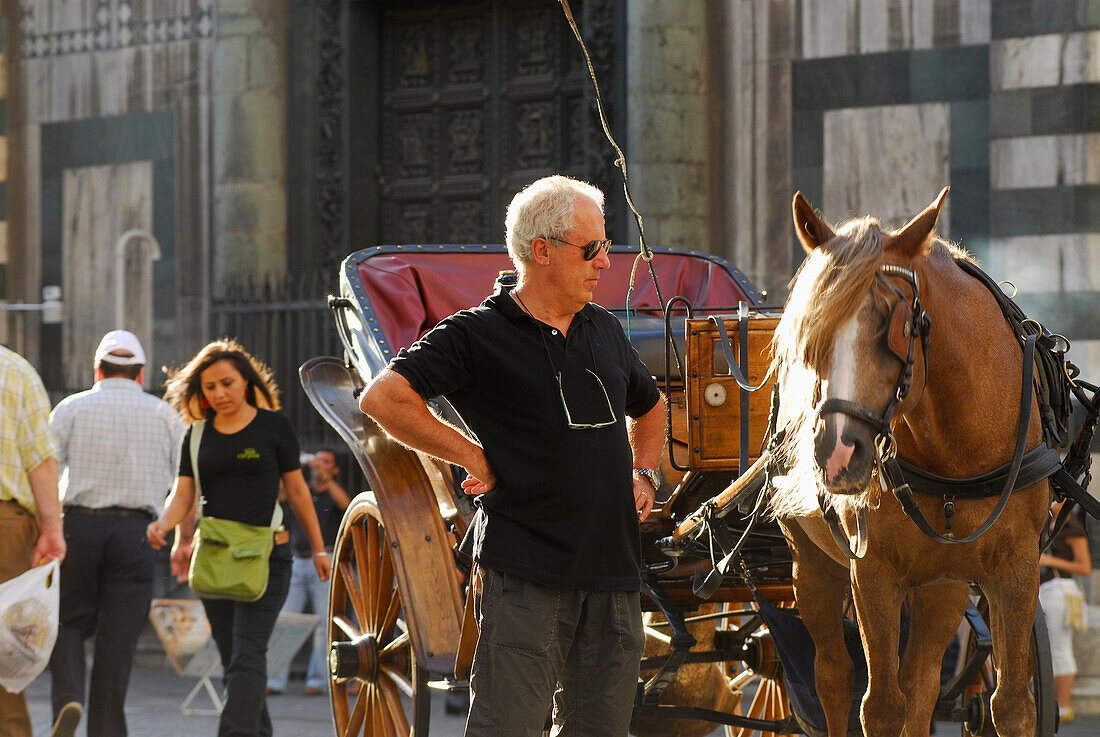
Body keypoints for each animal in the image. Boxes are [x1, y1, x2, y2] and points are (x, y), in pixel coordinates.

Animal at [765, 192, 1047, 737]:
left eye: (889, 324)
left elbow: (1011, 705)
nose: (836, 453)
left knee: (922, 684)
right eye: (811, 334)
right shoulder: (871, 570)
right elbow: (879, 706)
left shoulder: (1017, 567)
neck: (955, 453)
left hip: (944, 583)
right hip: (810, 562)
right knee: (833, 676)